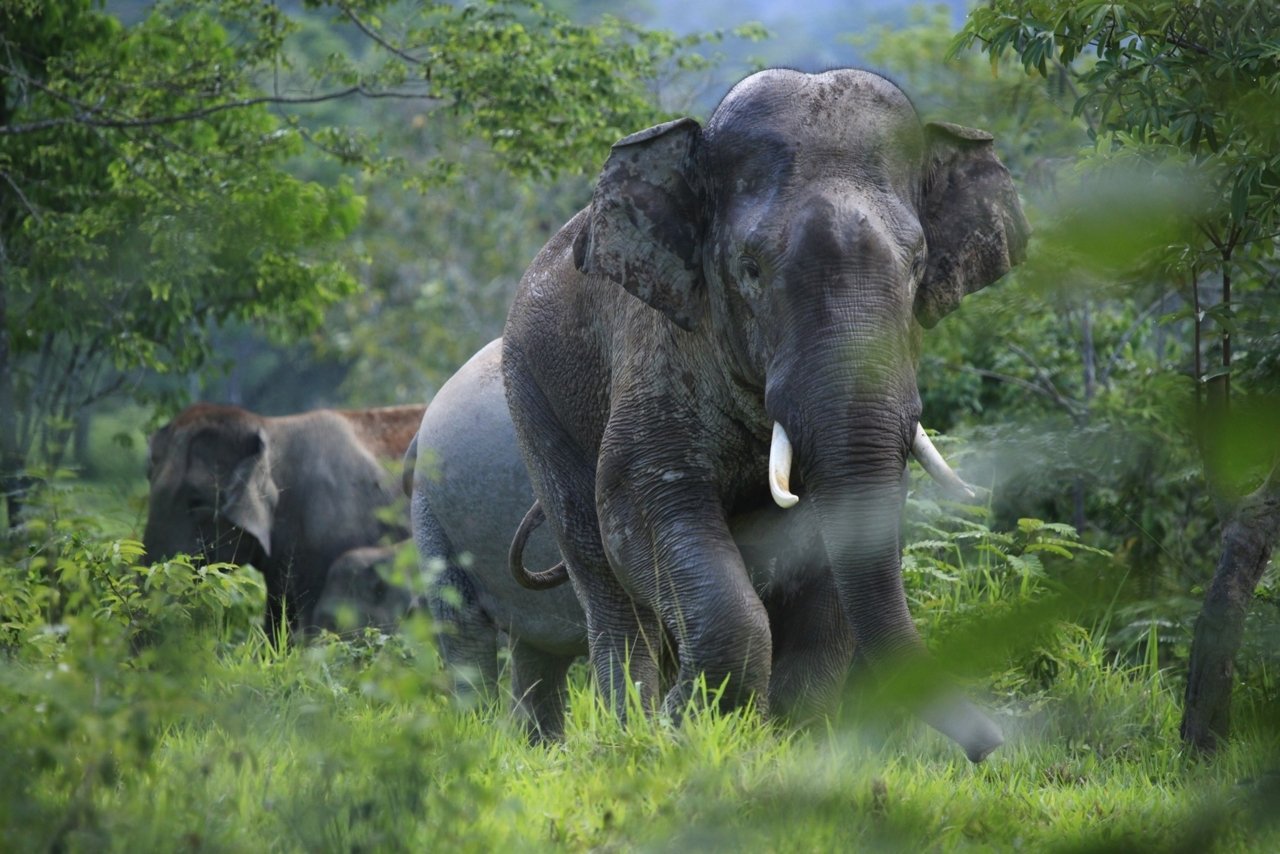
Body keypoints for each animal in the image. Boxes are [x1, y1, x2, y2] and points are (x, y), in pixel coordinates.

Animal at [502, 67, 1028, 762]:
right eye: (749, 269)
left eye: (917, 265)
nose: (991, 747)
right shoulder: (658, 356)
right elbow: (636, 502)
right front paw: (687, 732)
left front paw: (792, 743)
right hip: (532, 393)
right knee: (604, 578)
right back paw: (630, 732)